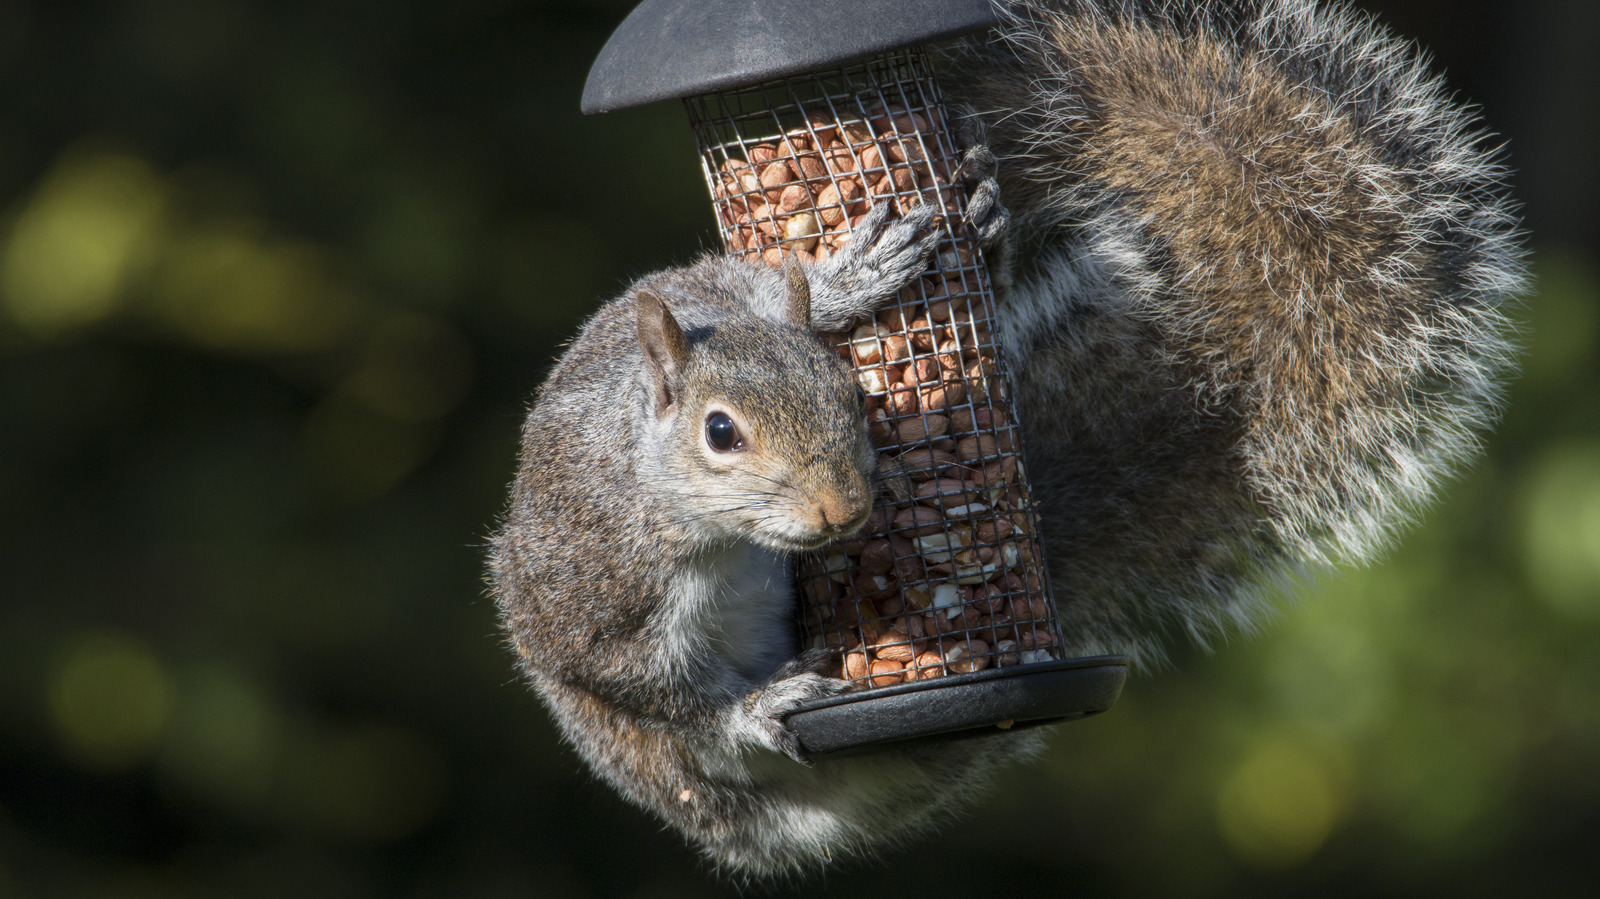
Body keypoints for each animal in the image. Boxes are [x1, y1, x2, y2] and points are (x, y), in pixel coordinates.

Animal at [488, 0, 1526, 881]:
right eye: (719, 432)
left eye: (850, 397)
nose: (843, 510)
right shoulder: (597, 600)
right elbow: (666, 695)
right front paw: (757, 705)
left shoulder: (715, 288)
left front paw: (860, 276)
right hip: (650, 761)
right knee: (695, 751)